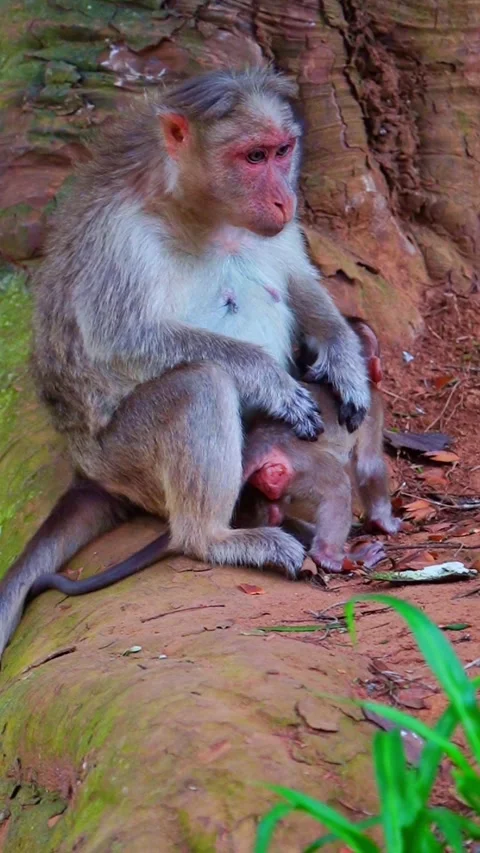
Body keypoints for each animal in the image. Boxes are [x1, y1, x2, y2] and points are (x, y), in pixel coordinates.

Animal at [0, 68, 371, 658]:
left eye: (282, 151)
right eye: (252, 157)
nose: (283, 199)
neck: (199, 211)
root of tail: (89, 472)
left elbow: (300, 281)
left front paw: (343, 357)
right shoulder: (120, 238)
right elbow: (121, 339)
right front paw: (269, 378)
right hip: (125, 461)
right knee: (199, 383)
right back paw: (215, 538)